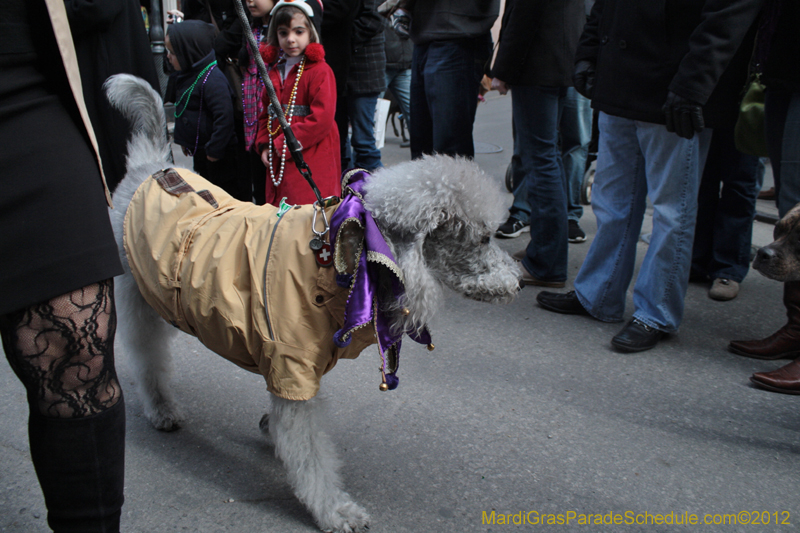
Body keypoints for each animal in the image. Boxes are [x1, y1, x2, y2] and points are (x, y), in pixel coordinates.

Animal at [103, 72, 520, 528]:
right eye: (483, 238)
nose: (518, 281)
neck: (347, 256)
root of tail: (150, 167)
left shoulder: (291, 370)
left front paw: (270, 431)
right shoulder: (292, 368)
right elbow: (312, 457)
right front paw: (336, 511)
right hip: (137, 299)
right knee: (147, 358)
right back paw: (161, 409)